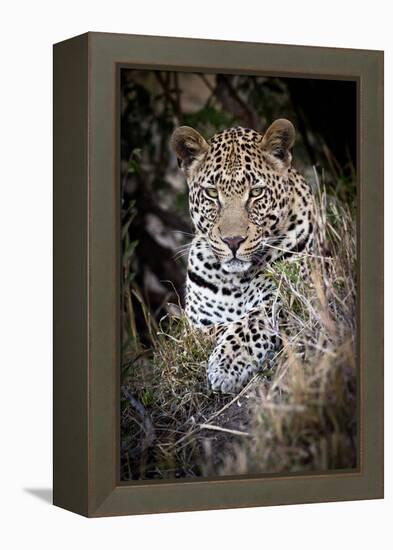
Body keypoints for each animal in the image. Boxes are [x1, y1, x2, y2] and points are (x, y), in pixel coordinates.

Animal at [170, 121, 314, 396]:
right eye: (212, 193)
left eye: (256, 192)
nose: (233, 241)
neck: (234, 281)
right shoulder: (195, 323)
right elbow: (203, 332)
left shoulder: (285, 296)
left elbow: (249, 322)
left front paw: (226, 366)